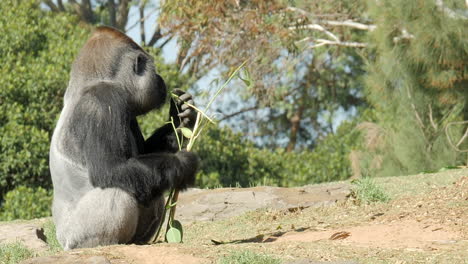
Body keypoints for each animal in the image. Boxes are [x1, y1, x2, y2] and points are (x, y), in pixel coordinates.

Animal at [49, 26, 199, 250]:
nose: (160, 77)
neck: (88, 82)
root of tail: (62, 240)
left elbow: (148, 154)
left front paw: (182, 118)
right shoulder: (104, 101)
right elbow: (111, 169)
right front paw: (183, 164)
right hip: (75, 237)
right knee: (117, 190)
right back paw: (106, 243)